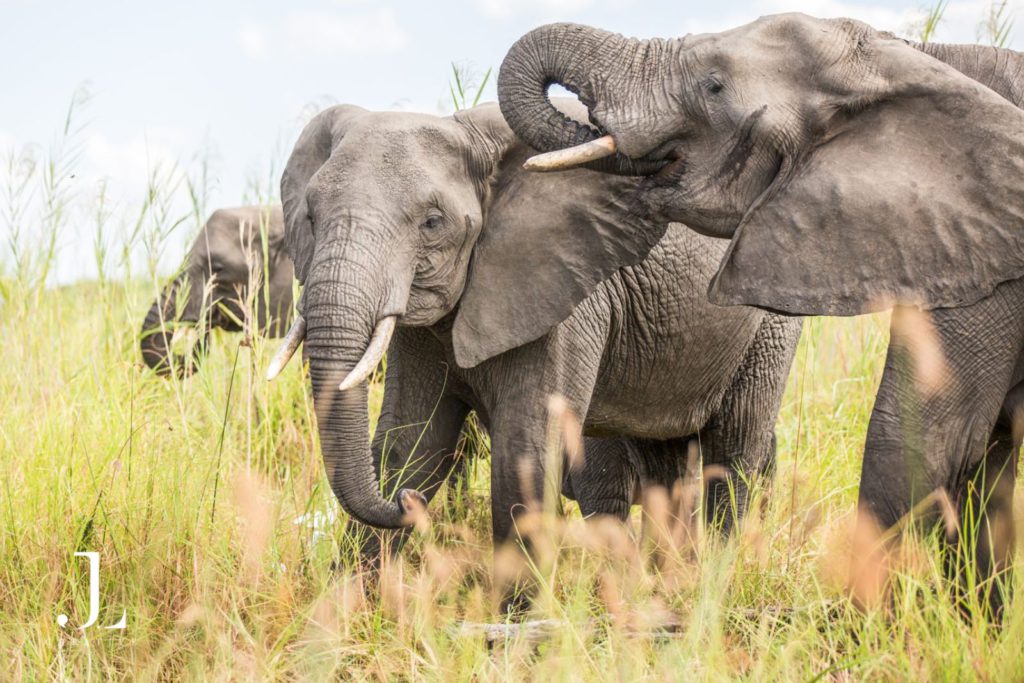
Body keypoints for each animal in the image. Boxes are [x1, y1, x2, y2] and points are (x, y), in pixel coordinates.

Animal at [270, 99, 802, 588]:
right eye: (311, 218)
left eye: (432, 223)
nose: (406, 505)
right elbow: (410, 443)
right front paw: (345, 611)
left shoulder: (567, 292)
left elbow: (524, 453)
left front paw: (515, 627)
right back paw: (657, 583)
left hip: (769, 321)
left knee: (733, 453)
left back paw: (705, 586)